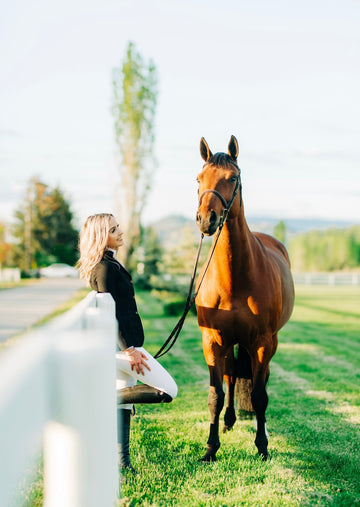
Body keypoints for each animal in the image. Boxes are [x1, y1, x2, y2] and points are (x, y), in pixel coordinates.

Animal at [195, 137, 294, 462]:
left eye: (232, 178)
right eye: (199, 179)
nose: (206, 219)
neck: (235, 280)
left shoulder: (262, 343)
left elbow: (259, 395)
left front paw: (262, 446)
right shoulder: (213, 342)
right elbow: (216, 394)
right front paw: (210, 448)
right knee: (230, 376)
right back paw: (227, 422)